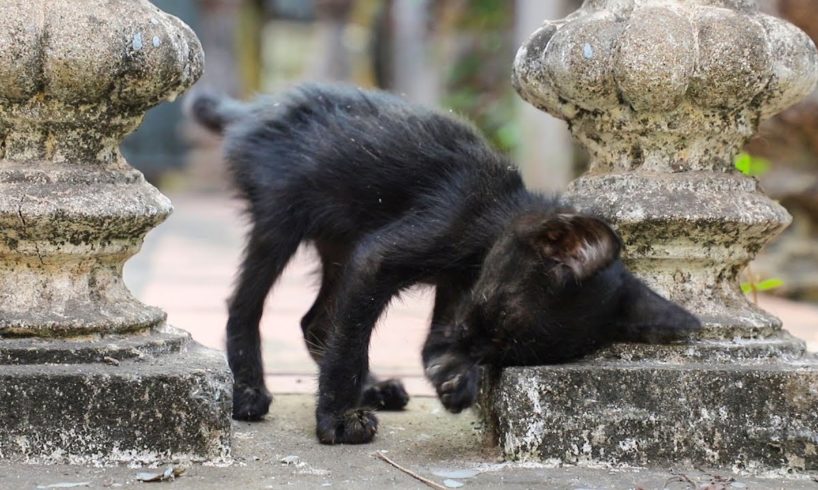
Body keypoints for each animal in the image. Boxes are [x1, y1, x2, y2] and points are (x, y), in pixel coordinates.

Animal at [190, 83, 696, 444]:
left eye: (508, 352)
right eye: (496, 313)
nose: (468, 344)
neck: (496, 212)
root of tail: (257, 109)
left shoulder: (451, 285)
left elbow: (410, 337)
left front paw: (452, 375)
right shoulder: (387, 255)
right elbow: (352, 339)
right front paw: (338, 419)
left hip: (339, 242)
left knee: (318, 321)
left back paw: (376, 388)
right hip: (281, 216)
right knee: (245, 305)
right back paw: (249, 393)